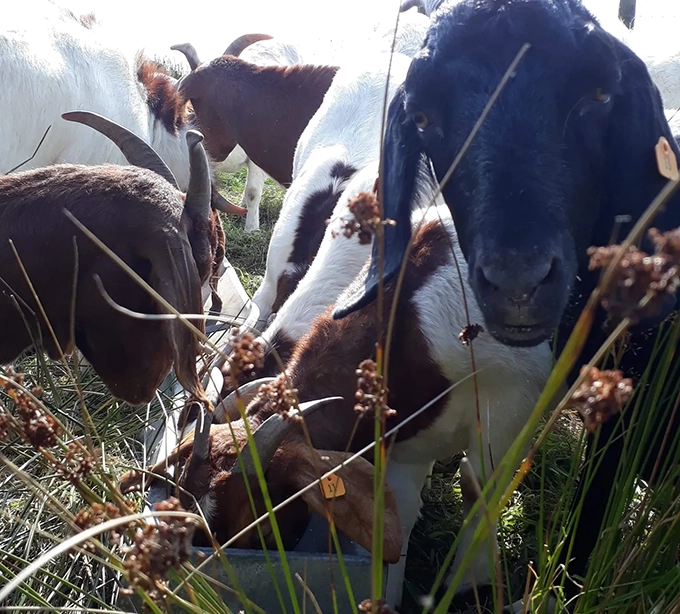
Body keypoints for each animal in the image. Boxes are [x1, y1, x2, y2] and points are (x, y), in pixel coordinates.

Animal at [126, 199, 553, 608]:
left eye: (261, 522)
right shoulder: (407, 438)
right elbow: (399, 508)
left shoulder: (512, 404)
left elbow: (478, 486)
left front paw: (469, 583)